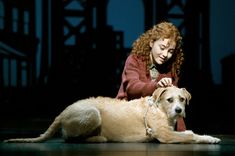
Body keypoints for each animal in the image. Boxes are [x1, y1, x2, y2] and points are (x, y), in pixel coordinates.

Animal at [3, 86, 220, 144]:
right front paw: (204, 138)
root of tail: (63, 111)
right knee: (69, 138)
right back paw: (98, 138)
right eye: (170, 100)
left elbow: (192, 133)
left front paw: (210, 137)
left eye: (182, 99)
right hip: (92, 113)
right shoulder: (165, 135)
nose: (179, 110)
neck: (159, 108)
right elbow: (189, 135)